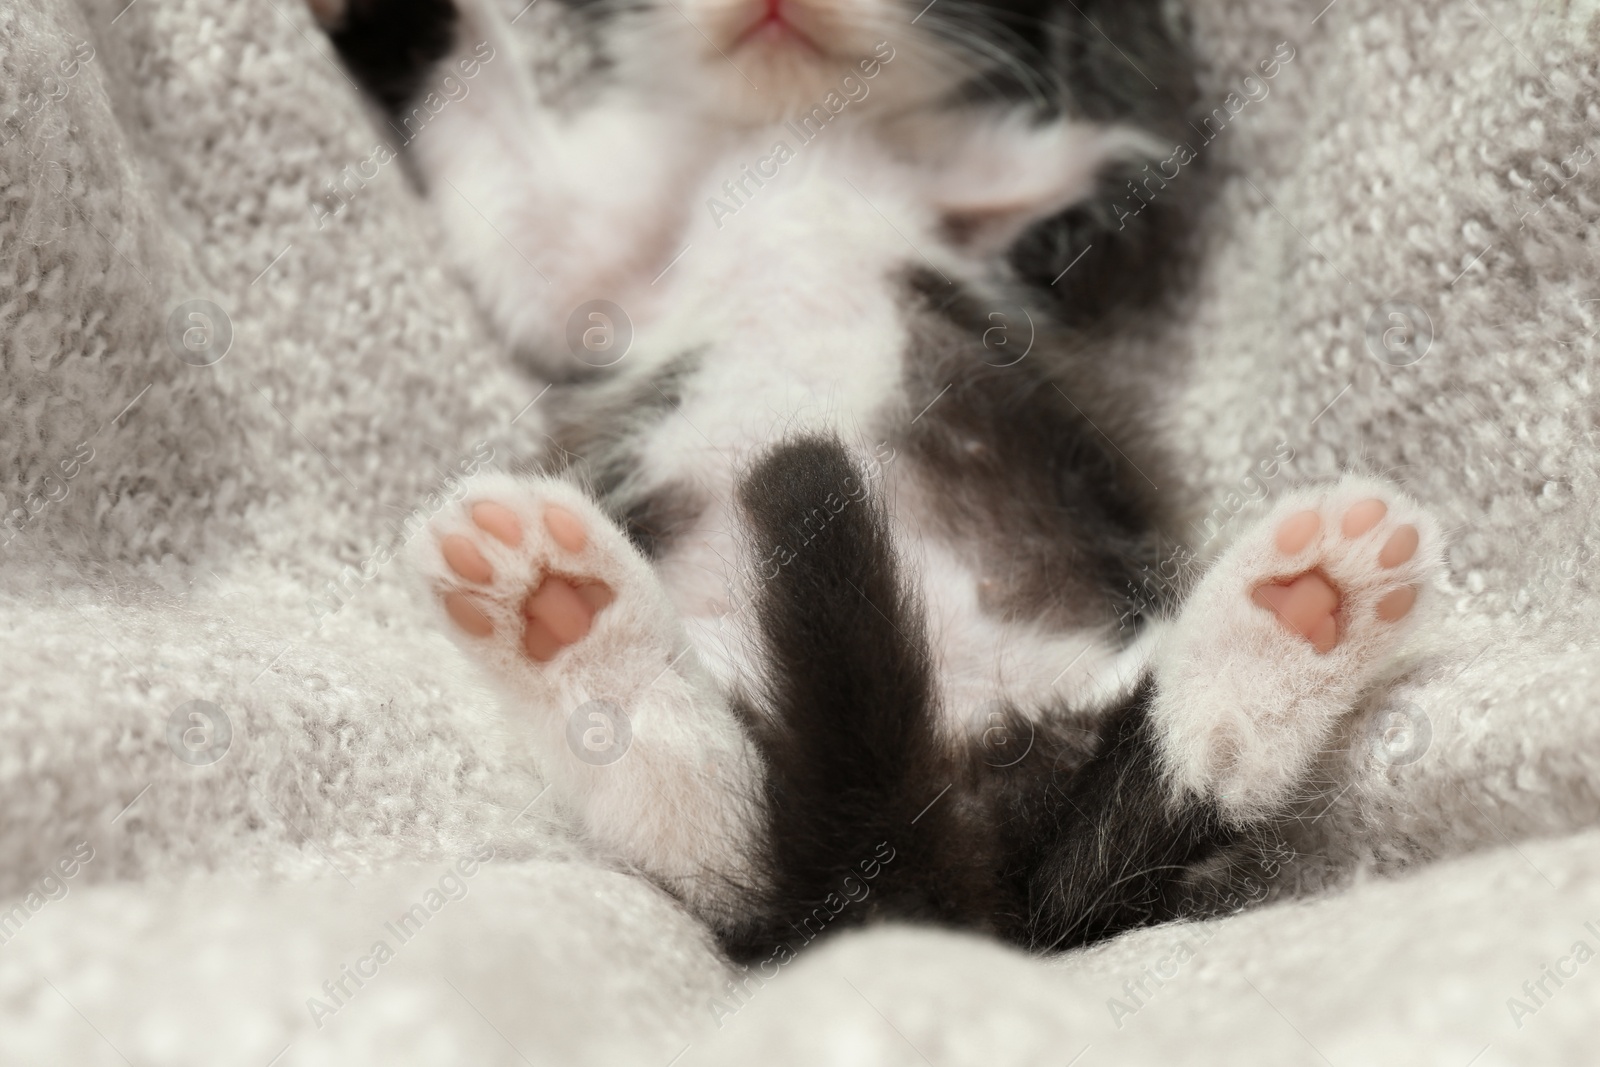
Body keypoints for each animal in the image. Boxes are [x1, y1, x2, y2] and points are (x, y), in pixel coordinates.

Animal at [312, 0, 1440, 959]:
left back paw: (1292, 616)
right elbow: (521, 228)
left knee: (1090, 858)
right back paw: (567, 623)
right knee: (750, 861)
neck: (801, 128)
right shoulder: (597, 261)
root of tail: (917, 868)